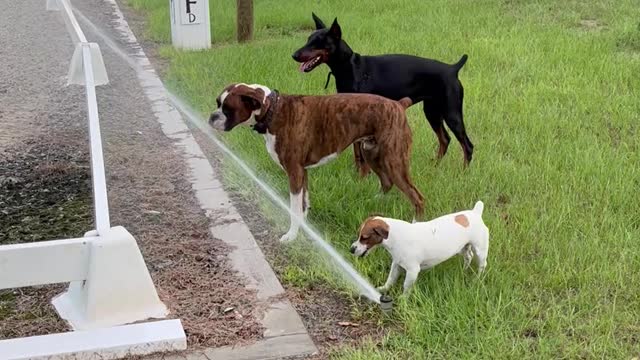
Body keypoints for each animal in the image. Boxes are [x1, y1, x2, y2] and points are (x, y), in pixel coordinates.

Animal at [292, 12, 472, 173]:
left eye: (317, 43)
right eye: (308, 40)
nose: (294, 55)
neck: (350, 67)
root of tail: (452, 69)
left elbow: (361, 155)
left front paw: (363, 177)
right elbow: (357, 153)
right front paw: (358, 175)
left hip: (451, 113)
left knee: (467, 145)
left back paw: (463, 173)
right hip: (432, 111)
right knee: (445, 139)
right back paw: (434, 166)